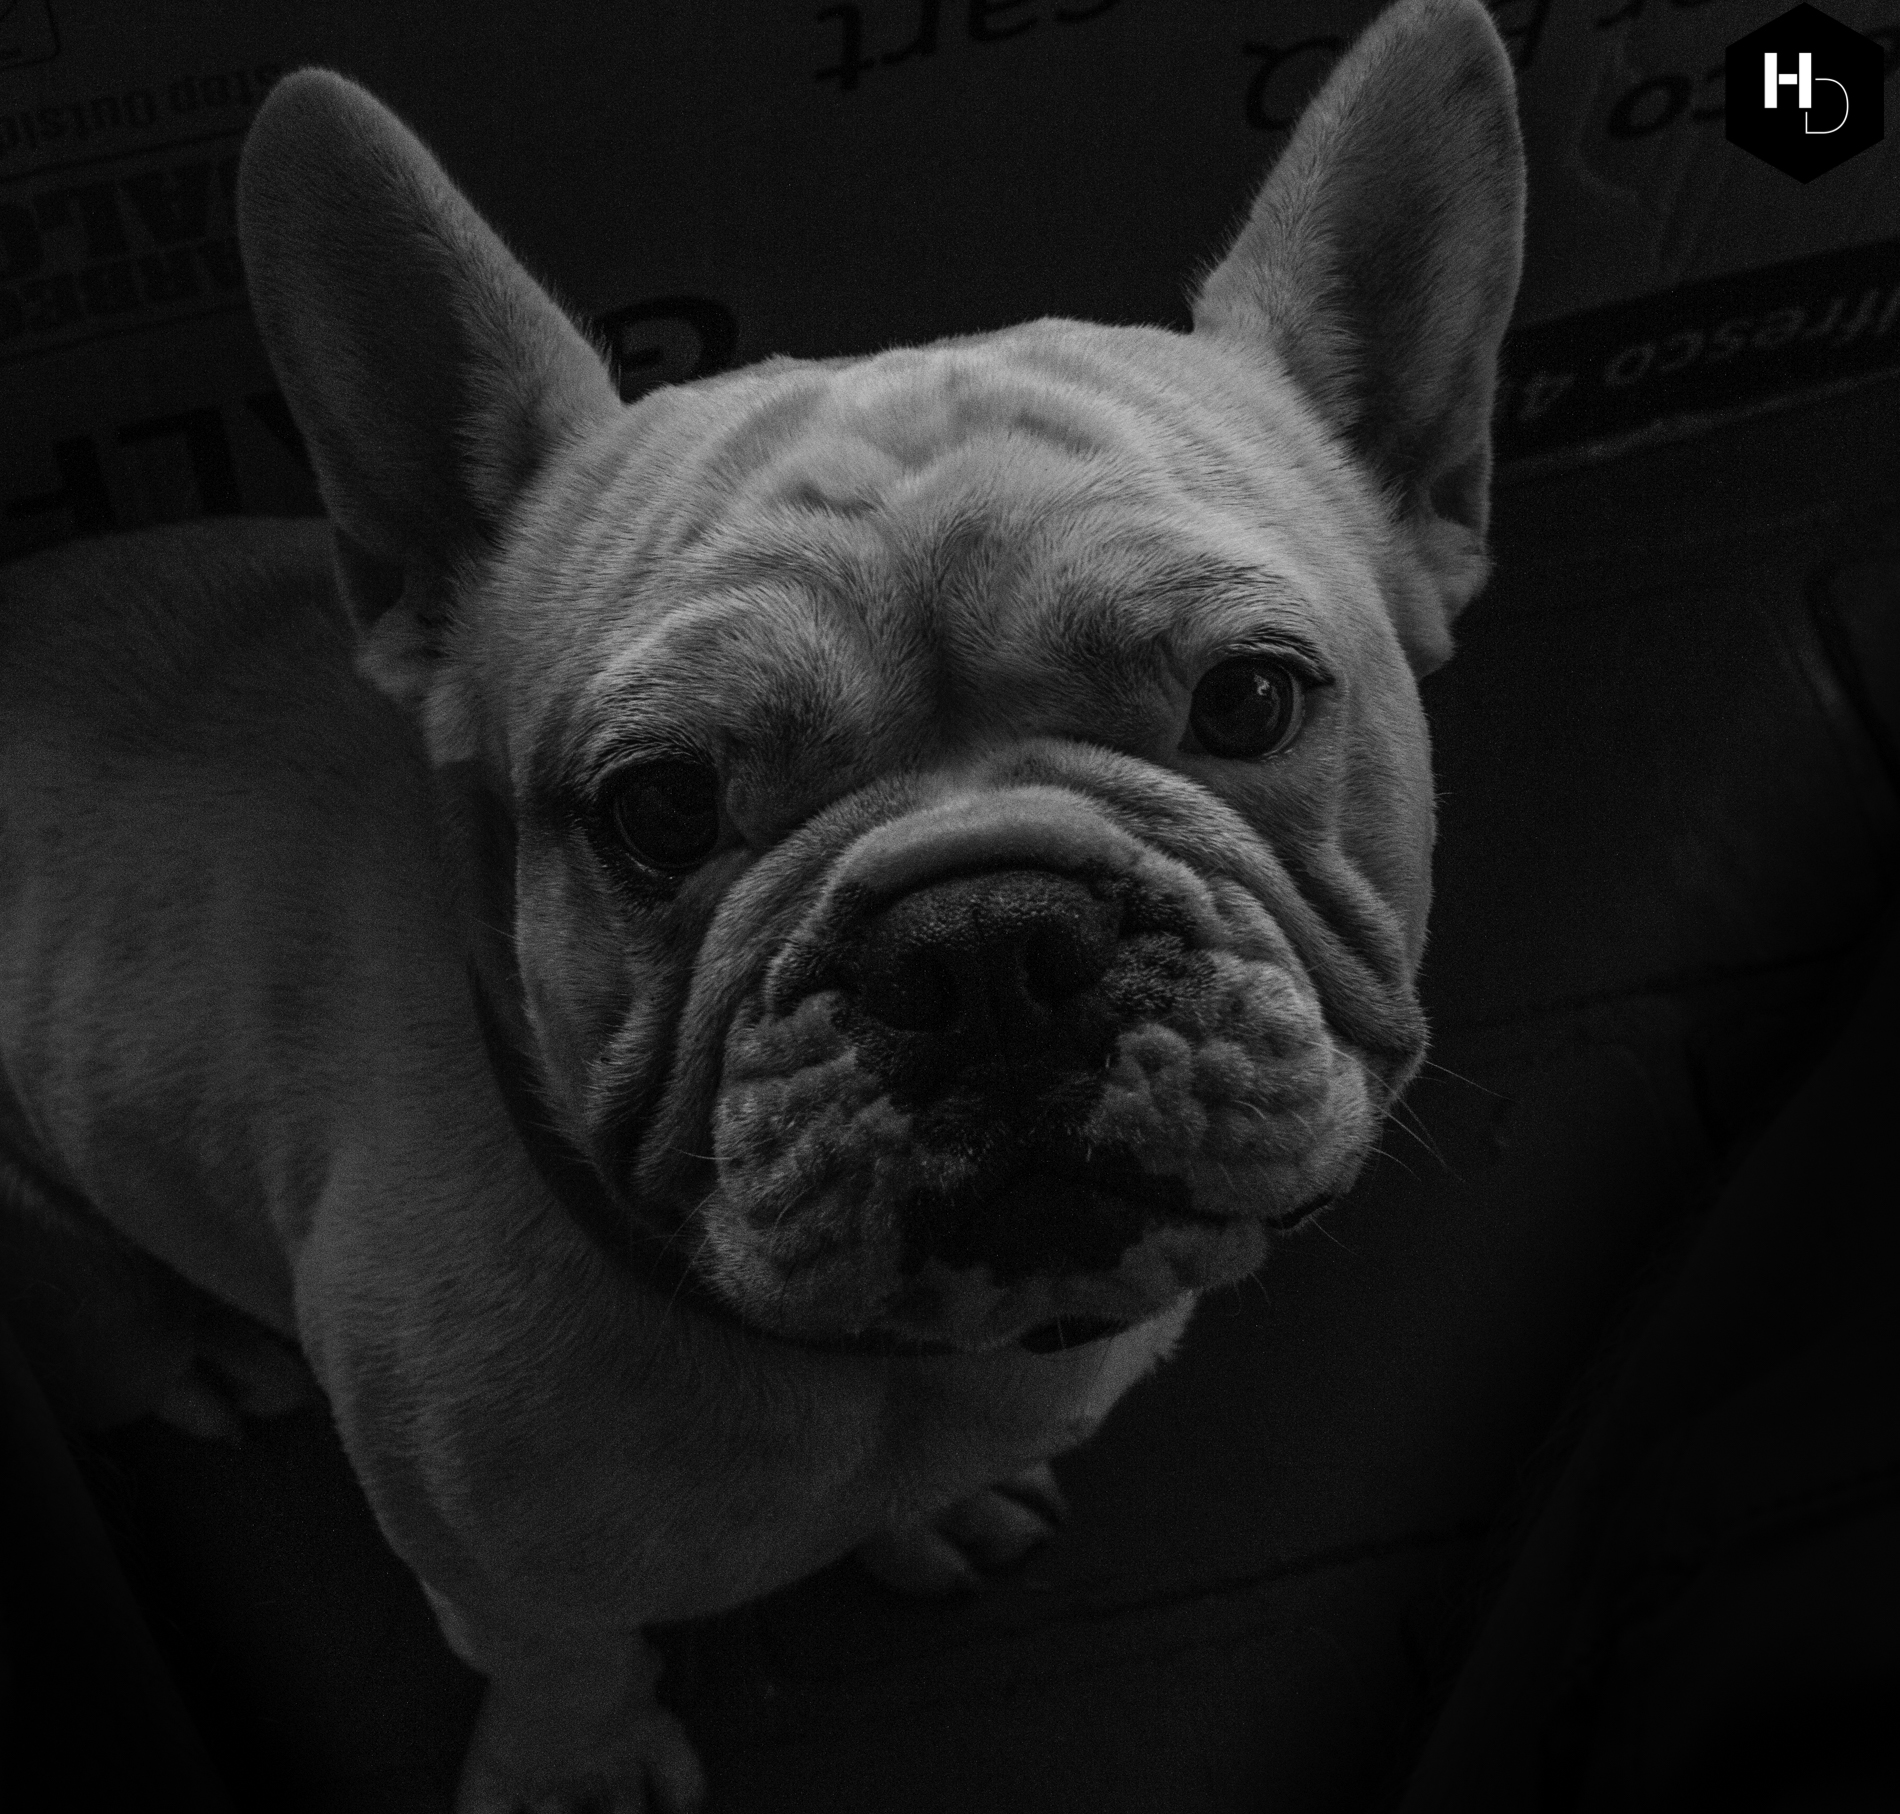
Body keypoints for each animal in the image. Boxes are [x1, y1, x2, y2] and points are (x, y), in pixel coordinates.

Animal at [0, 1, 1522, 1806]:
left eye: (1250, 698)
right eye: (657, 806)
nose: (986, 937)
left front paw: (941, 1513)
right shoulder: (499, 1579)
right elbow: (566, 1663)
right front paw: (580, 1768)